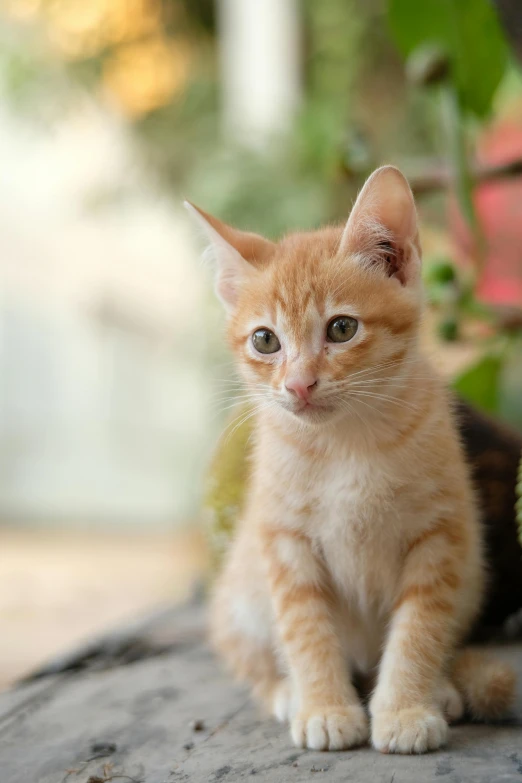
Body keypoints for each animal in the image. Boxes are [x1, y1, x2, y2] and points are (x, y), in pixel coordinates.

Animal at [184, 168, 512, 756]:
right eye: (265, 340)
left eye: (341, 329)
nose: (298, 385)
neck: (346, 443)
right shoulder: (283, 539)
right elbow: (305, 627)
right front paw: (324, 707)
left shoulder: (441, 536)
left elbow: (420, 626)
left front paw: (405, 708)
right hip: (239, 599)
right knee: (246, 656)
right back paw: (285, 691)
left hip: (473, 573)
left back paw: (441, 688)